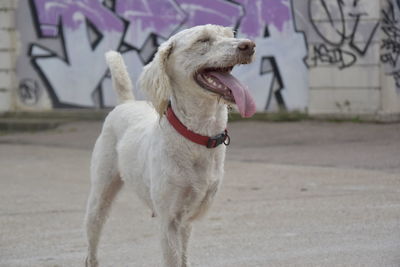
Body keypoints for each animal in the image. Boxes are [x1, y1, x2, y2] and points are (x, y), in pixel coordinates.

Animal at [85, 24, 256, 266]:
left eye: (229, 34)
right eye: (203, 40)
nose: (249, 45)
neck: (197, 137)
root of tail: (125, 103)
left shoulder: (185, 219)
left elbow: (184, 258)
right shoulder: (169, 222)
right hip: (100, 197)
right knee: (91, 245)